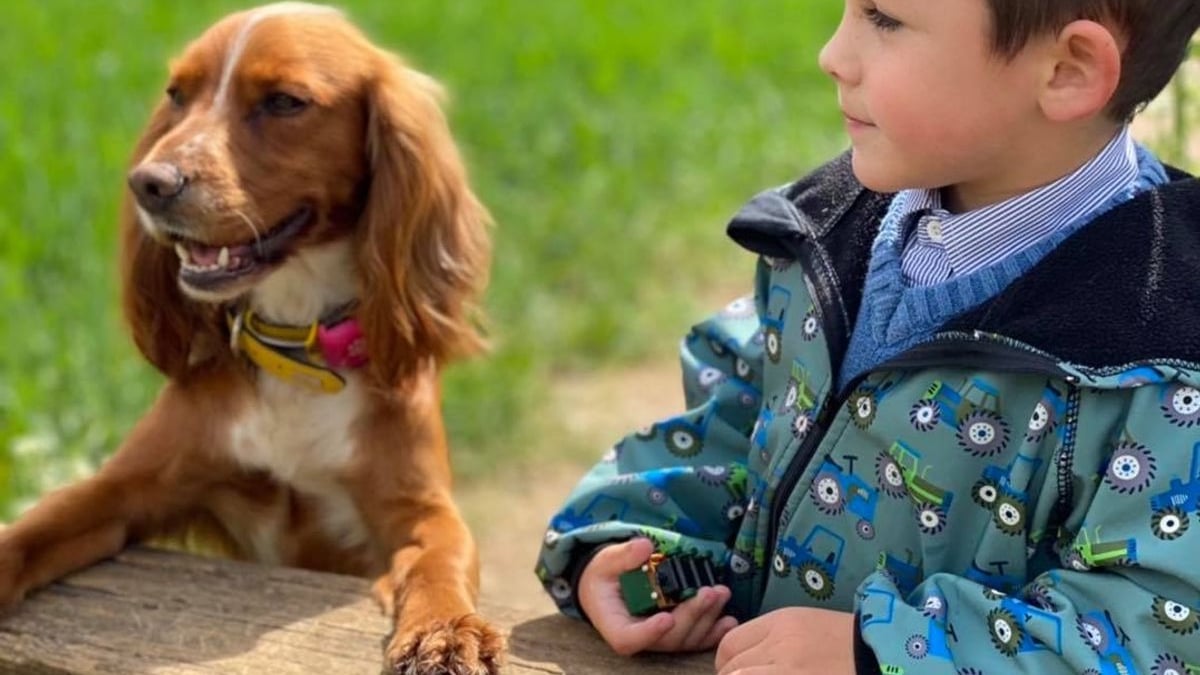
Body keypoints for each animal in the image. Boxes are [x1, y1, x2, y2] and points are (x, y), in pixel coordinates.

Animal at [0, 2, 501, 667]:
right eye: (177, 94)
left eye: (285, 101)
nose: (149, 183)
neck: (294, 347)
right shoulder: (126, 488)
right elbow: (36, 524)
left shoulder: (419, 507)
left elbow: (442, 558)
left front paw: (444, 630)